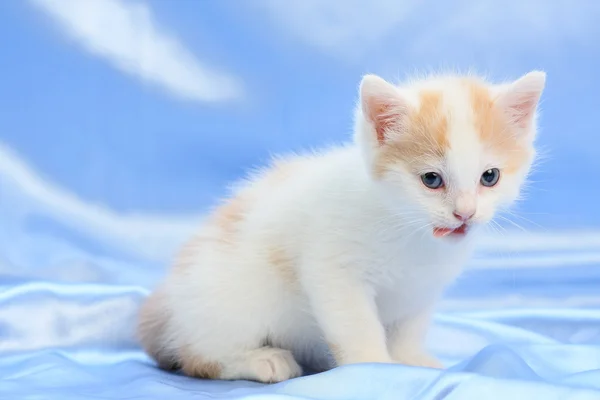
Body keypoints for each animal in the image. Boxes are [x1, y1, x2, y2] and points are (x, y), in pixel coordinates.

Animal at [138, 70, 548, 382]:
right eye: (431, 180)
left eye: (490, 177)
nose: (465, 213)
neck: (408, 230)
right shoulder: (334, 272)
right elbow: (357, 325)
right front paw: (374, 369)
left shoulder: (422, 287)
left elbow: (410, 325)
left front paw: (409, 360)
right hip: (229, 299)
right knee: (198, 354)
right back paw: (260, 360)